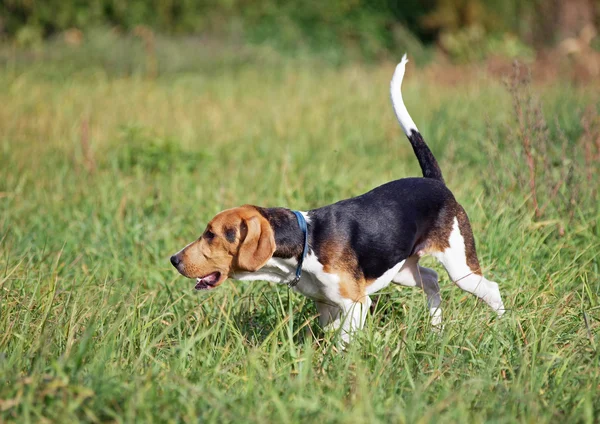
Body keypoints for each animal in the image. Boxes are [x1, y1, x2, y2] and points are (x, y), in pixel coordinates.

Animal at [170, 54, 506, 342]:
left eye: (211, 235)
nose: (174, 259)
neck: (306, 242)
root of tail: (434, 181)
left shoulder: (356, 304)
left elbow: (343, 343)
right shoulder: (327, 306)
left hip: (460, 267)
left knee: (491, 289)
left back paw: (502, 326)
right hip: (402, 270)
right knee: (432, 279)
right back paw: (436, 328)